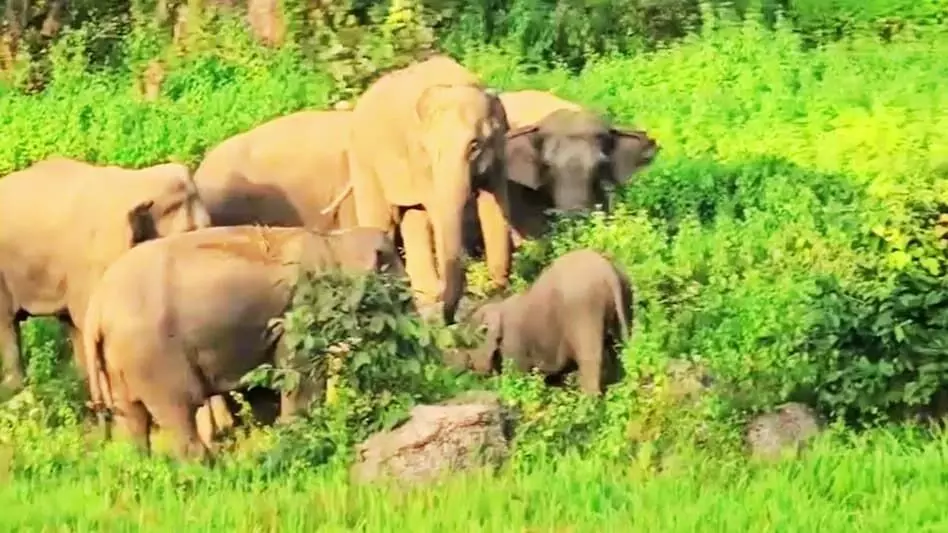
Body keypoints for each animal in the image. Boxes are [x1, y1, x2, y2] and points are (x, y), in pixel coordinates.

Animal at [82, 225, 405, 462]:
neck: (334, 241)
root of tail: (96, 306)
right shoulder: (300, 312)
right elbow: (301, 377)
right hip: (153, 356)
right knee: (179, 410)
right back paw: (210, 469)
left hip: (118, 359)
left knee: (132, 418)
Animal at [347, 54, 534, 325]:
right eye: (428, 149)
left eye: (474, 145)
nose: (451, 319)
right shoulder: (419, 161)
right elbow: (438, 210)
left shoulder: (499, 152)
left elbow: (494, 205)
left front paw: (499, 292)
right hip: (363, 160)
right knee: (382, 221)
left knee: (414, 217)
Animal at [459, 249, 633, 396]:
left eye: (470, 344)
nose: (471, 369)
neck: (498, 305)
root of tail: (608, 271)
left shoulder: (513, 343)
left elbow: (517, 374)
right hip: (626, 295)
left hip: (584, 310)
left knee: (590, 357)